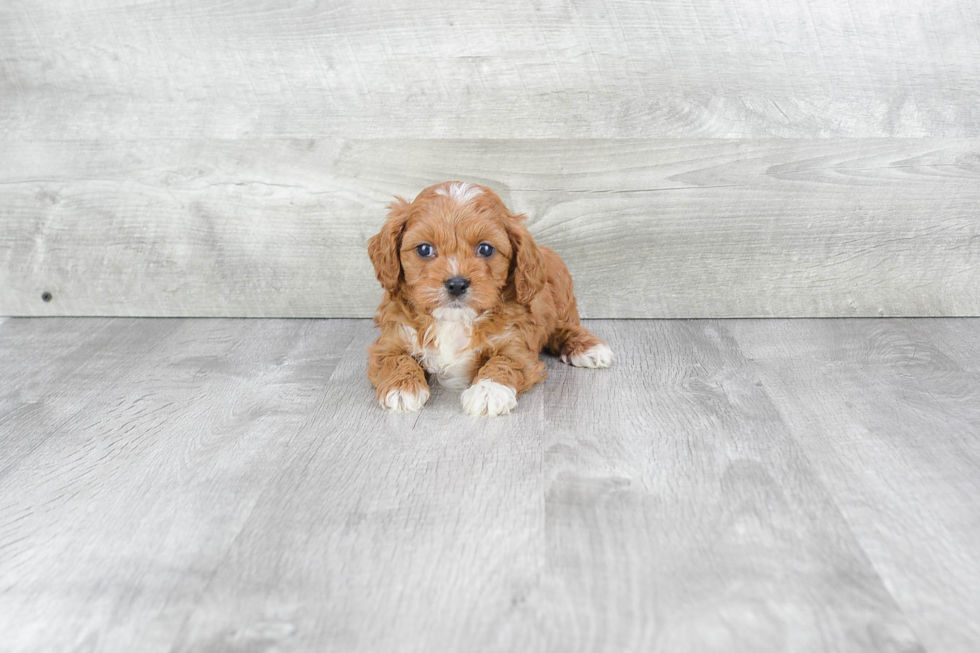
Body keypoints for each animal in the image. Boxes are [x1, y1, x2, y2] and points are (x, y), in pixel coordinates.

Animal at [368, 181, 612, 416]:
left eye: (485, 249)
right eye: (424, 249)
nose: (456, 284)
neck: (454, 321)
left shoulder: (517, 345)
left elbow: (504, 361)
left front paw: (488, 391)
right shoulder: (387, 341)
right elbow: (395, 359)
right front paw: (401, 388)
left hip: (562, 300)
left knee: (565, 327)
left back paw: (589, 348)